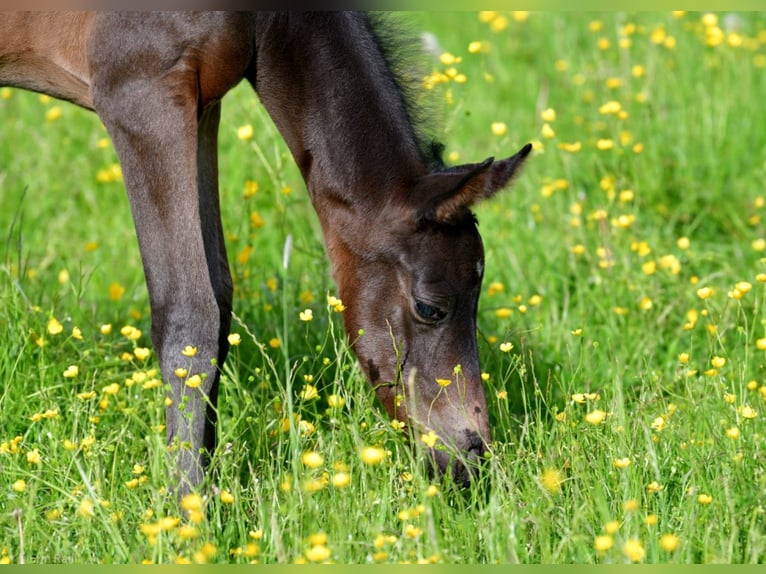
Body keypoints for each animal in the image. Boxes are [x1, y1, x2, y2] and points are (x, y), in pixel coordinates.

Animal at [0, 12, 532, 490]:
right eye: (430, 308)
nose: (472, 458)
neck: (269, 18)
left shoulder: (201, 102)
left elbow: (218, 298)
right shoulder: (140, 96)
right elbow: (188, 313)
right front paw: (188, 512)